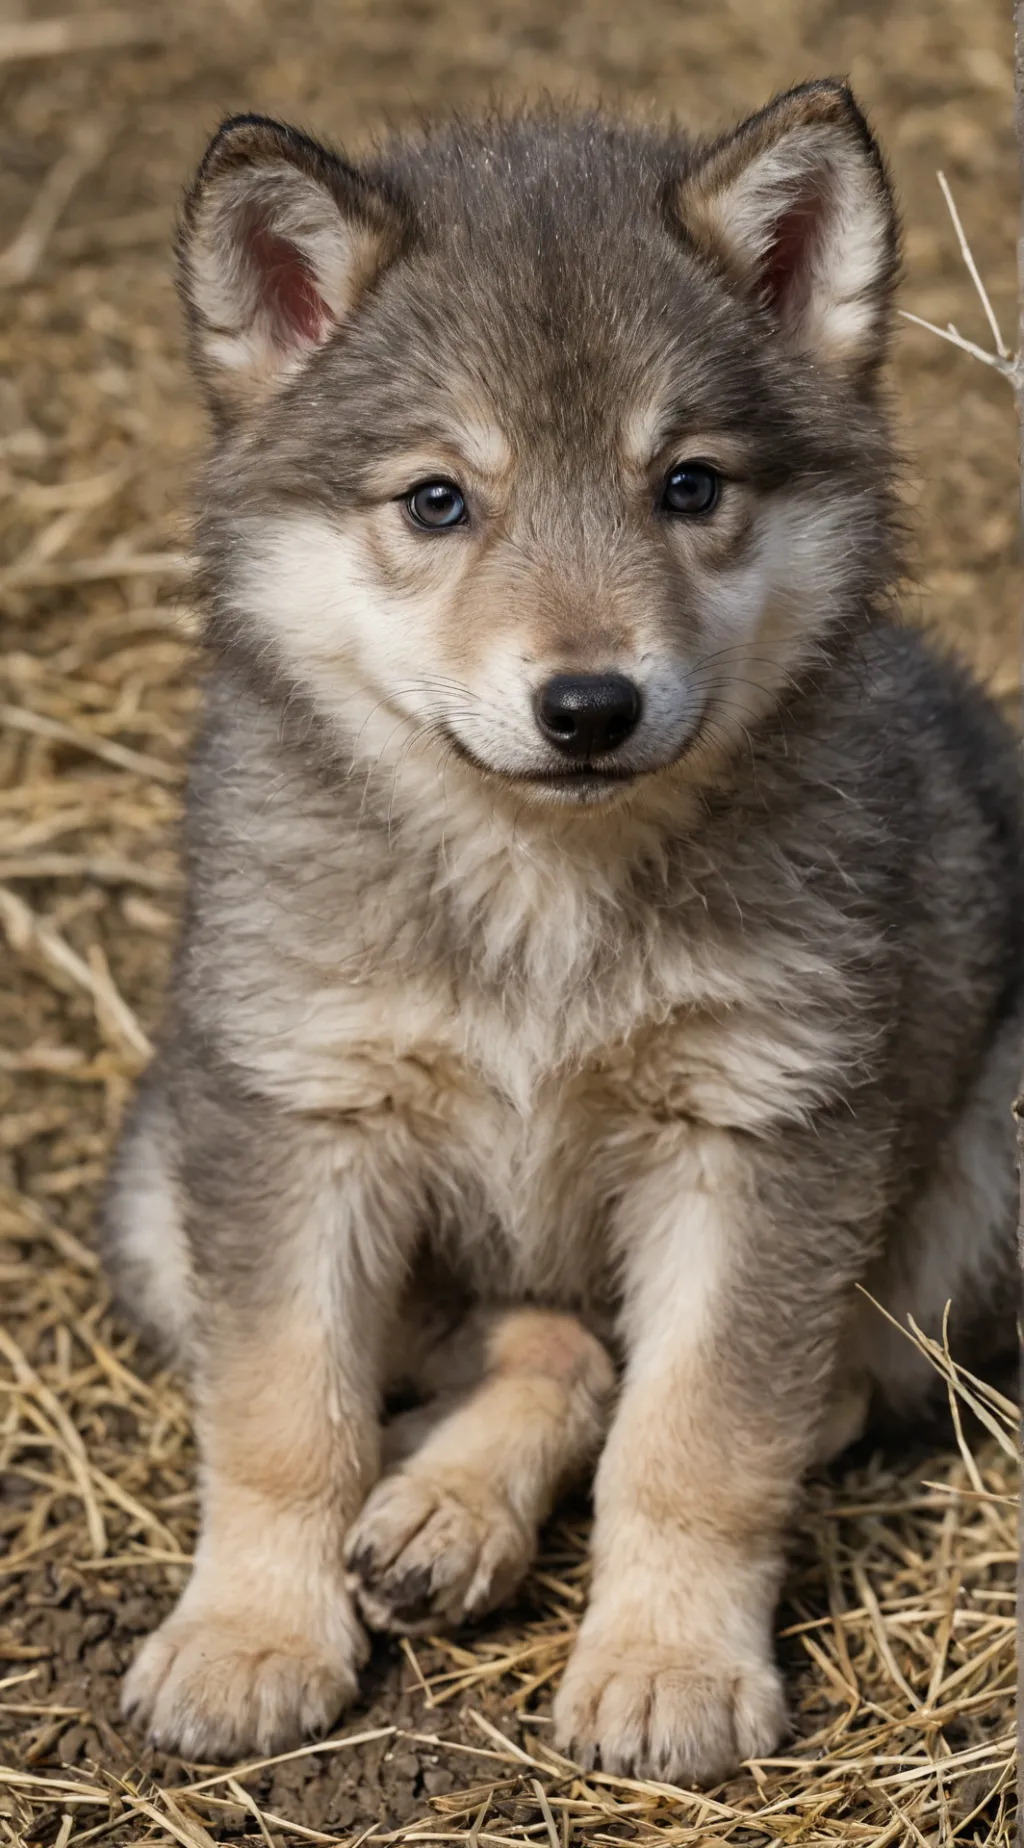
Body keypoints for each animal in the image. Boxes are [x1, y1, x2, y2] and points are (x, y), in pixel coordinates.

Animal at [102, 82, 1023, 1784]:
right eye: (437, 501)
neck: (543, 885)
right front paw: (253, 1634)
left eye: (690, 486)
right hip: (155, 1177)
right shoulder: (297, 1118)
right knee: (530, 1341)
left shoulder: (763, 1131)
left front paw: (667, 1665)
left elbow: (701, 1435)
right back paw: (436, 1502)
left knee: (768, 1378)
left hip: (996, 1143)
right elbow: (281, 1414)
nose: (589, 705)